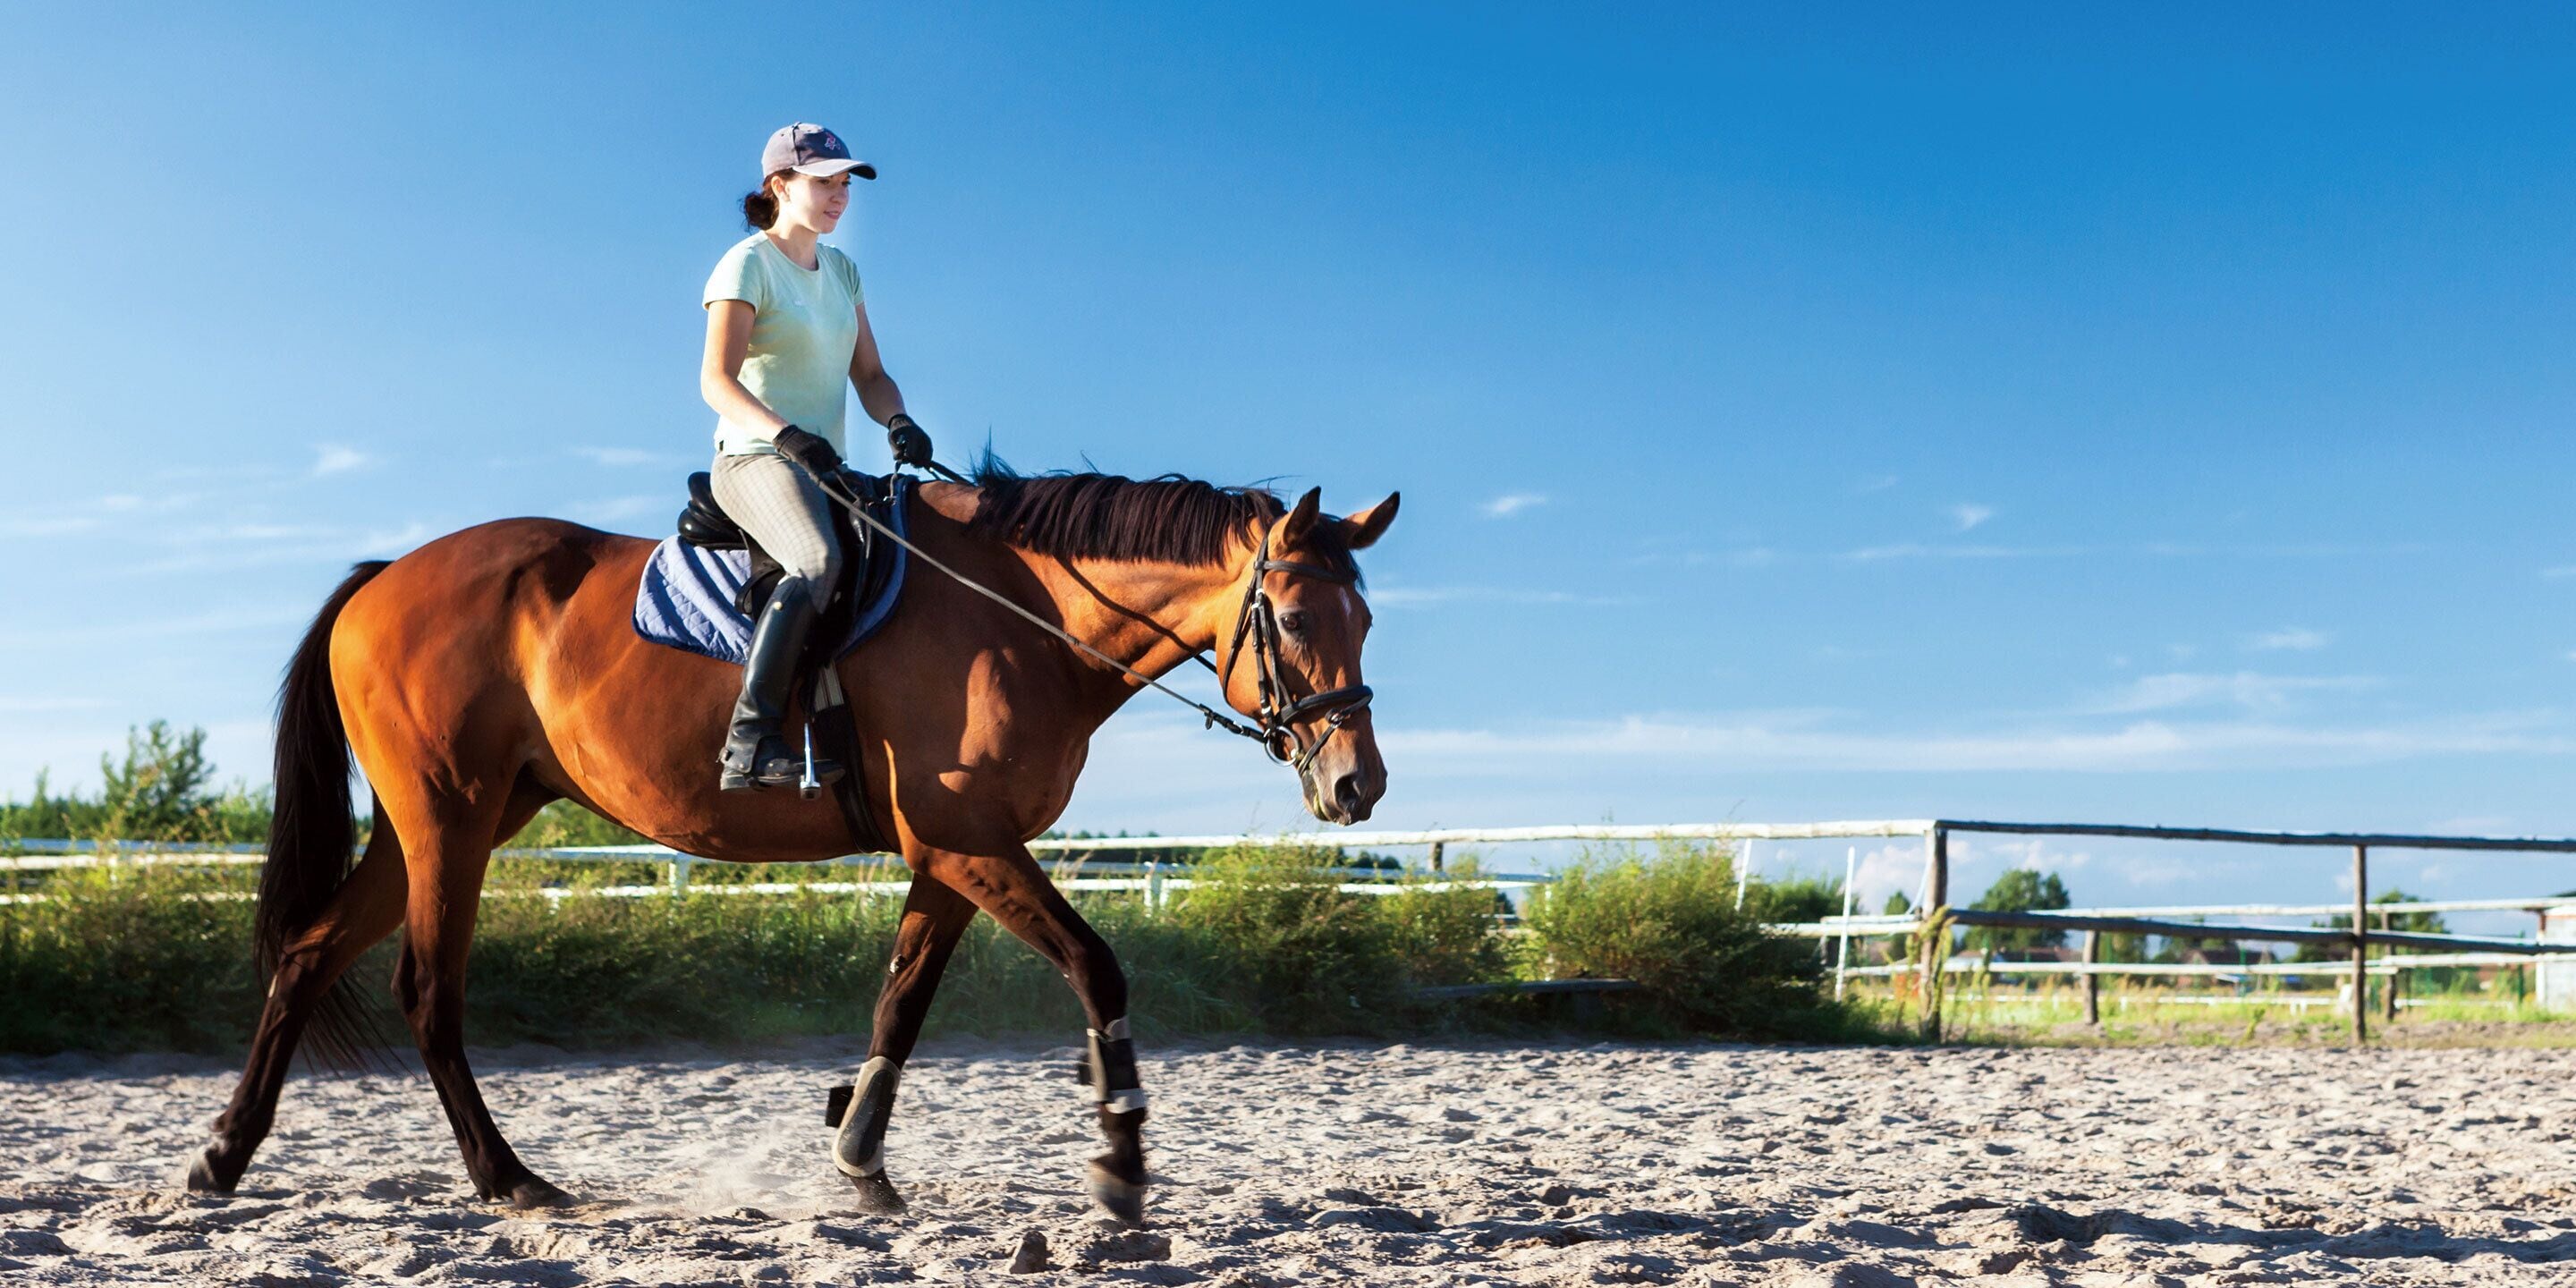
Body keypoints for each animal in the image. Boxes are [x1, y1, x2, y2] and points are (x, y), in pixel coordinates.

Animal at [182, 463, 1398, 1220]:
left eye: (1368, 620)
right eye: (1296, 619)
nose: (1359, 785)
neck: (1019, 617)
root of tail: (382, 577)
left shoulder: (954, 856)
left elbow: (899, 1004)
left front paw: (859, 1164)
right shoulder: (969, 841)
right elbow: (1097, 970)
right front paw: (1120, 1166)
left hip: (442, 820)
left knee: (307, 955)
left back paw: (223, 1156)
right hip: (452, 820)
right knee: (427, 989)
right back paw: (508, 1178)